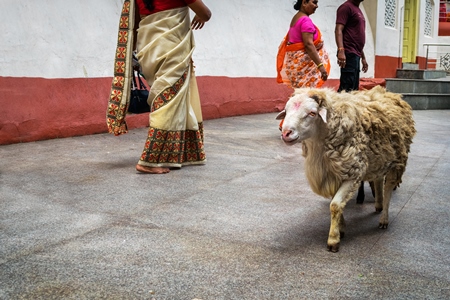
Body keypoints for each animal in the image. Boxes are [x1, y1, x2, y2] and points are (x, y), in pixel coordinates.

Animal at [276, 85, 416, 252]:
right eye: (286, 110)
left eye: (312, 113)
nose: (286, 133)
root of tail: (390, 93)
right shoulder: (332, 175)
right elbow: (336, 203)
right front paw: (341, 229)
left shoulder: (353, 174)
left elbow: (335, 205)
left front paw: (333, 239)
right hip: (379, 158)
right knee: (378, 179)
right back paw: (378, 204)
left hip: (398, 160)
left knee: (388, 188)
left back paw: (384, 219)